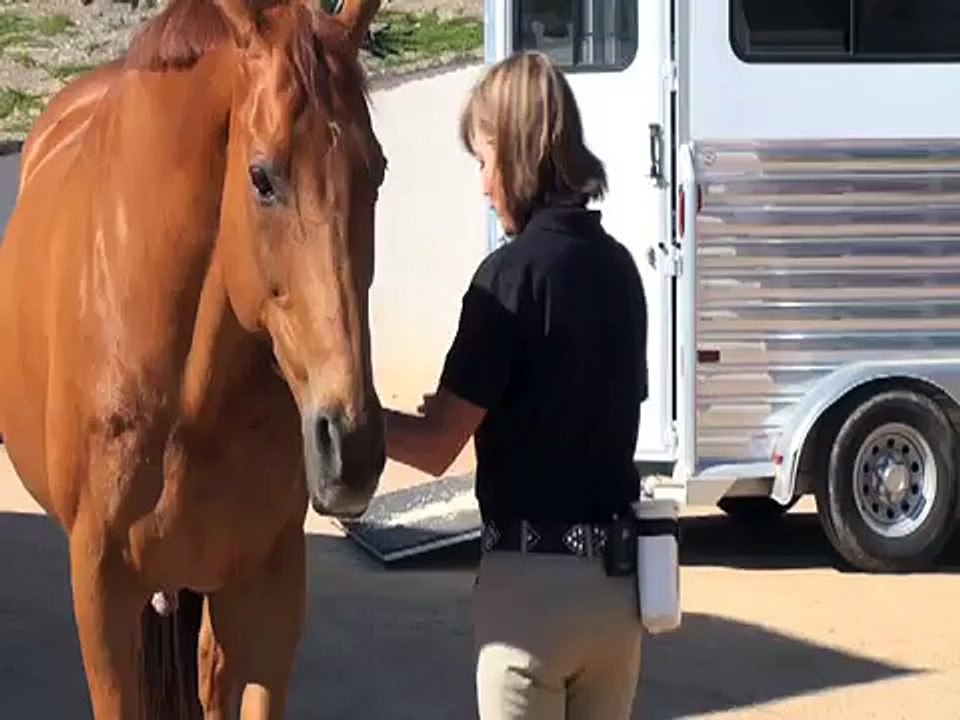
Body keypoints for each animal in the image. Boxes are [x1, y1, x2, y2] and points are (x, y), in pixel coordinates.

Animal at [0, 0, 387, 716]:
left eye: (375, 169)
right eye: (261, 177)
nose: (352, 446)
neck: (188, 400)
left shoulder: (269, 586)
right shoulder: (102, 591)